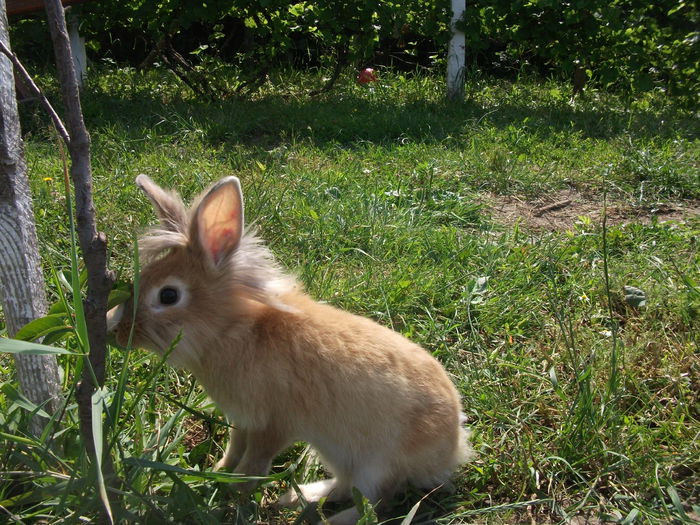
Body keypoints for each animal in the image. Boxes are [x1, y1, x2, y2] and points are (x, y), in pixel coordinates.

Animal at [106, 175, 474, 524]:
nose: (114, 328)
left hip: (378, 464)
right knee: (346, 487)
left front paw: (235, 493)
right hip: (338, 455)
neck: (233, 330)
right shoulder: (243, 421)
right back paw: (298, 497)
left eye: (168, 295)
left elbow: (255, 464)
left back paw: (328, 519)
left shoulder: (273, 426)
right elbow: (235, 450)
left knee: (375, 503)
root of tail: (454, 447)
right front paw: (220, 472)